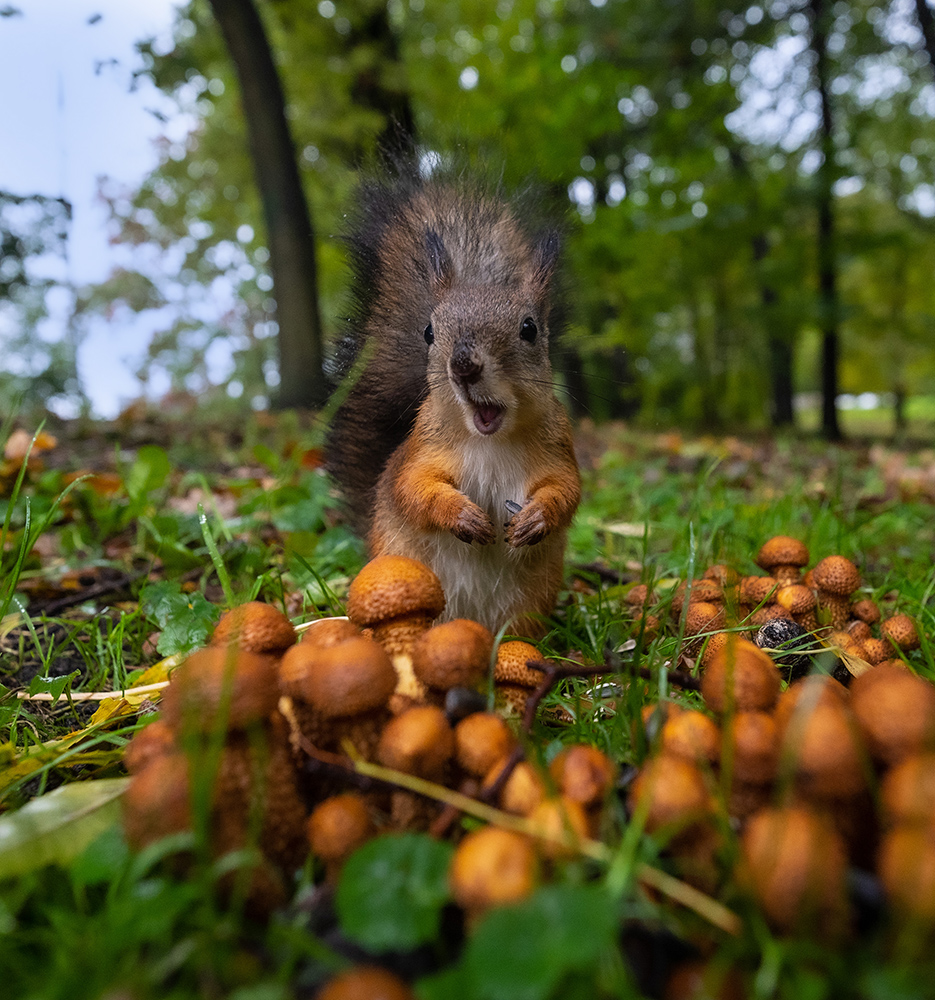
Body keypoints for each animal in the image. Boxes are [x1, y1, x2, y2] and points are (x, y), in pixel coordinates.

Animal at [326, 163, 580, 632]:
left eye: (529, 328)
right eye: (429, 331)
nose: (462, 365)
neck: (490, 440)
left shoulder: (559, 446)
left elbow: (566, 490)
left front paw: (536, 518)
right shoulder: (422, 449)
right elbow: (414, 488)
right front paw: (462, 516)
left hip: (529, 605)